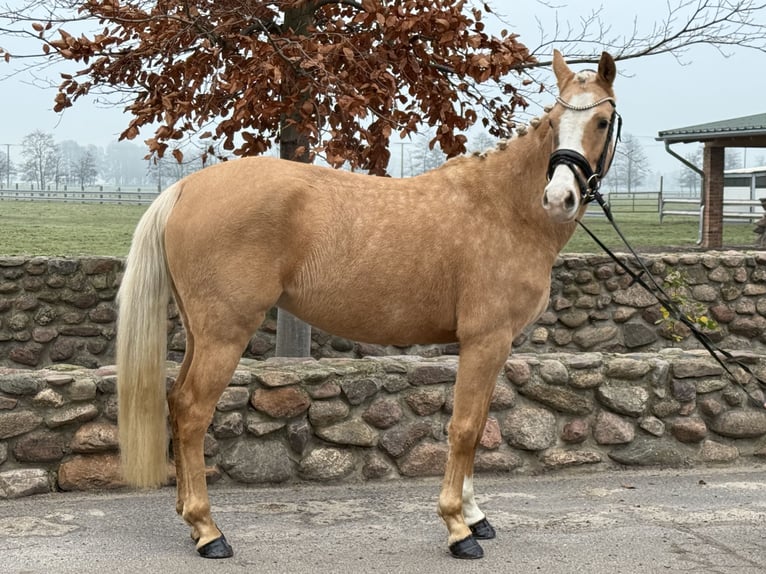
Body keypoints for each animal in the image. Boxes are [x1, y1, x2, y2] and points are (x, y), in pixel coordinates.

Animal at [120, 50, 620, 564]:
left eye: (601, 121)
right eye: (555, 121)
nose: (558, 199)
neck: (503, 209)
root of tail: (185, 189)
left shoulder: (495, 346)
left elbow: (479, 424)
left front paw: (476, 516)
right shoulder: (485, 340)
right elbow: (464, 428)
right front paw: (458, 528)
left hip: (201, 333)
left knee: (177, 401)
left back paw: (189, 519)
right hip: (224, 334)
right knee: (193, 412)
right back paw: (208, 531)